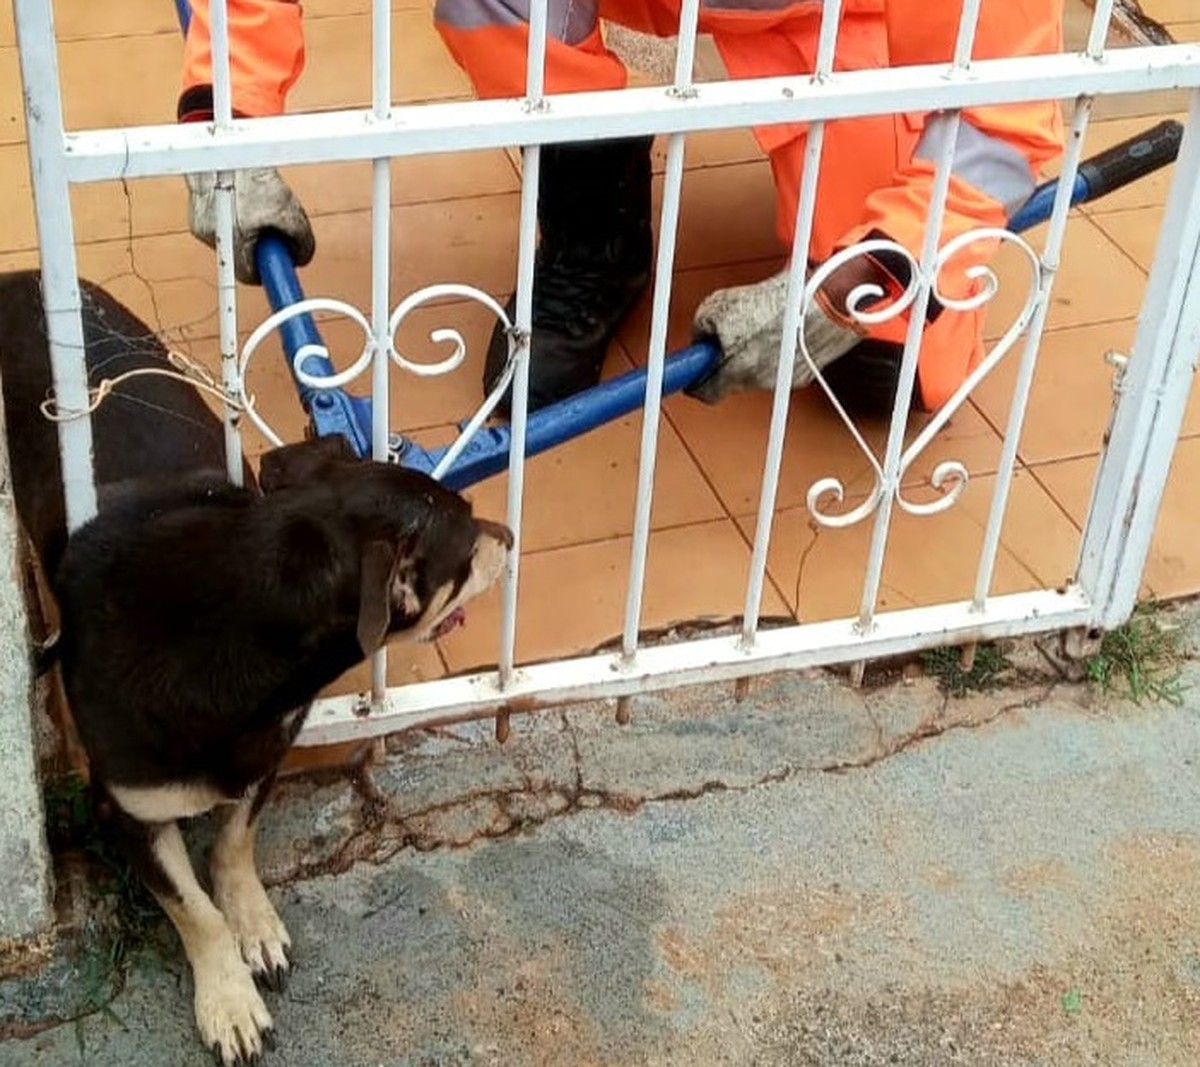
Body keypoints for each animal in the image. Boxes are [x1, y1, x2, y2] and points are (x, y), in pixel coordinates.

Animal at [0, 270, 511, 1060]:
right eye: (466, 547)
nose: (510, 536)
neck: (229, 634)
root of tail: (22, 275)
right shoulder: (125, 812)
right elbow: (191, 908)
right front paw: (228, 997)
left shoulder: (269, 749)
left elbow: (234, 843)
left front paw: (254, 923)